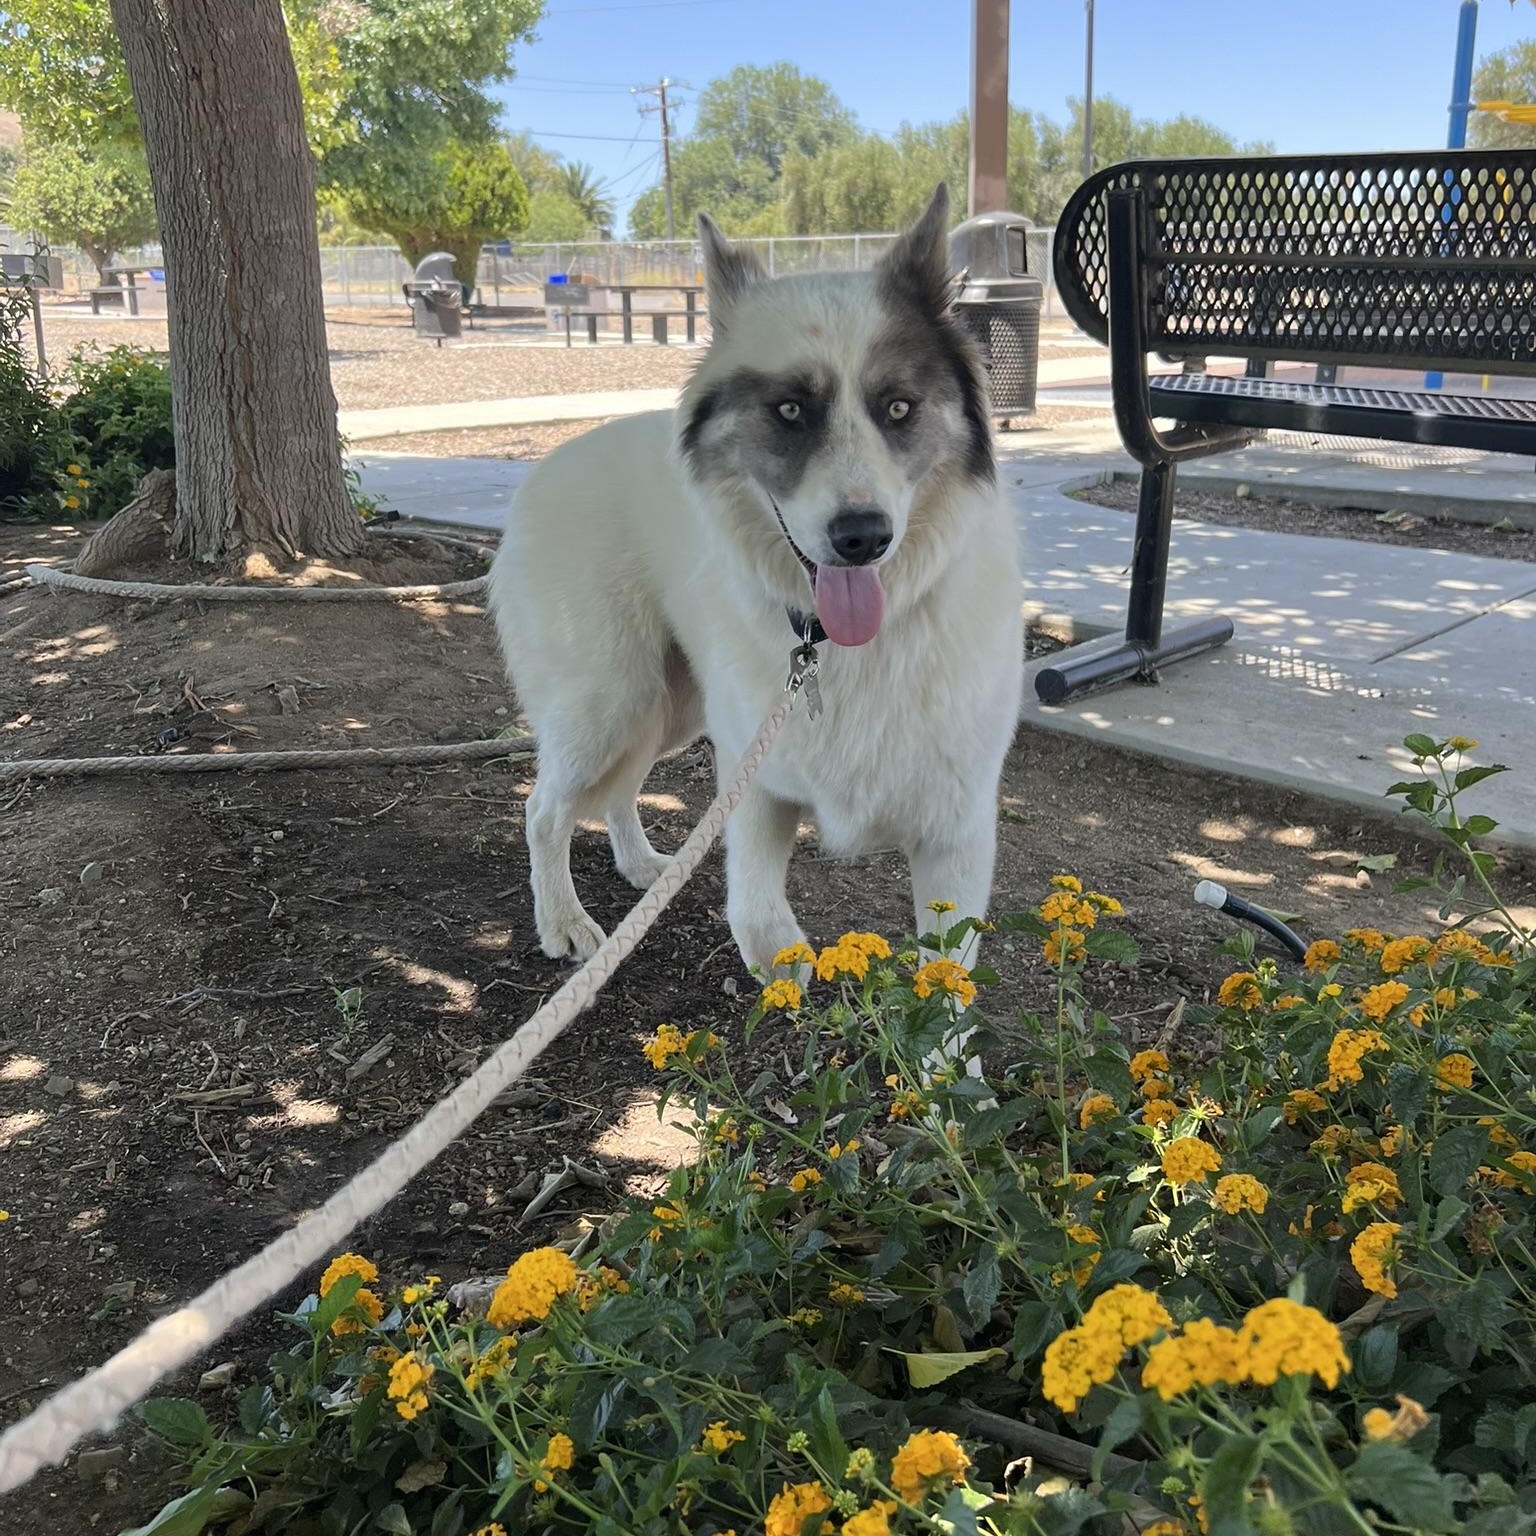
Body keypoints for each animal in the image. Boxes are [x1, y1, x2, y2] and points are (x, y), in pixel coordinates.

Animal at [489, 186, 1023, 978]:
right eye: (790, 410)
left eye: (899, 407)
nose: (862, 538)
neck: (836, 649)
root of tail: (544, 466)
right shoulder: (756, 778)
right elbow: (755, 893)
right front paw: (775, 953)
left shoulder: (956, 833)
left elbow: (946, 985)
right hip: (607, 702)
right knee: (543, 810)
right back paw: (563, 921)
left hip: (668, 708)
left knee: (619, 790)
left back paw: (642, 868)